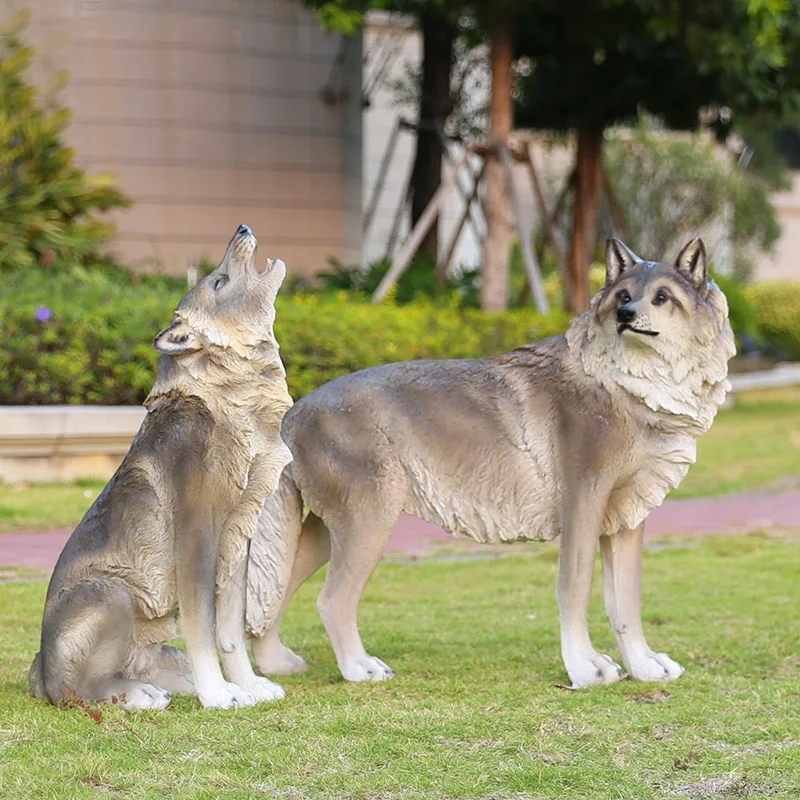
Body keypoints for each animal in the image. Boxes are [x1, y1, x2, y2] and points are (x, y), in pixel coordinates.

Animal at [29, 225, 293, 710]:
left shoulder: (238, 537)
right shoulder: (197, 535)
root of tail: (36, 671)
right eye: (219, 282)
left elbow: (230, 630)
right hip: (110, 594)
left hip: (152, 643)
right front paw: (218, 695)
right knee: (75, 691)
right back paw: (138, 694)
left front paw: (248, 686)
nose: (242, 229)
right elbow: (202, 625)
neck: (232, 406)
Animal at [244, 238, 735, 689]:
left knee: (275, 590)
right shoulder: (583, 507)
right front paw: (584, 668)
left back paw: (276, 665)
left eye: (662, 298)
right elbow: (574, 588)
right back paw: (358, 669)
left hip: (330, 532)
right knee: (332, 600)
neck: (620, 382)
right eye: (623, 296)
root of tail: (295, 410)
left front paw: (644, 667)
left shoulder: (626, 520)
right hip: (368, 523)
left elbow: (625, 601)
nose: (626, 316)